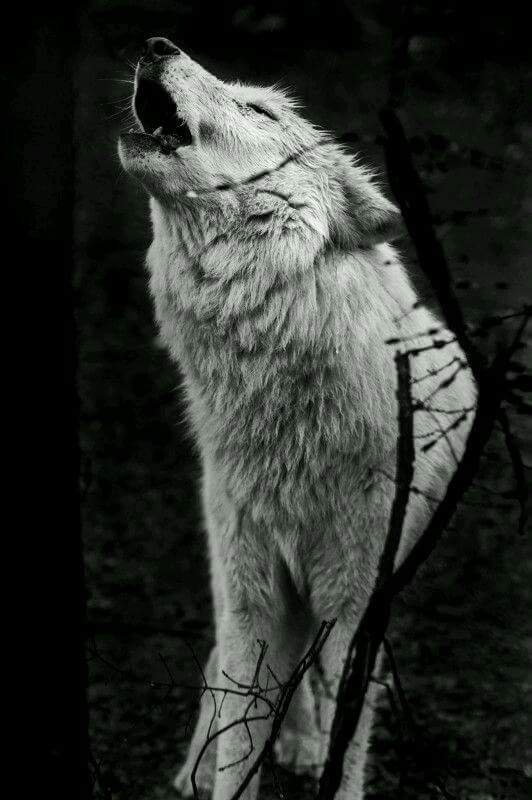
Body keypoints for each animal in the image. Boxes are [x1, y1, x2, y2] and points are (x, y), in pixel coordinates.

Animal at [118, 37, 476, 800]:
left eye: (261, 110)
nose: (157, 44)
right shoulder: (251, 588)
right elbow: (237, 731)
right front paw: (218, 770)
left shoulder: (355, 598)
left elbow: (348, 728)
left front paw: (323, 761)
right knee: (231, 669)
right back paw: (200, 767)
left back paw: (303, 744)